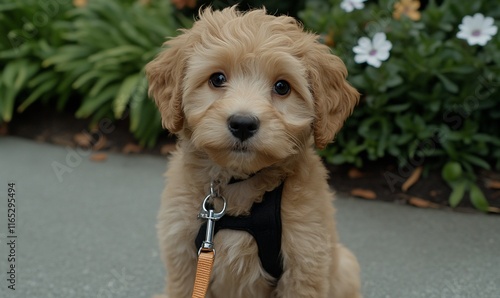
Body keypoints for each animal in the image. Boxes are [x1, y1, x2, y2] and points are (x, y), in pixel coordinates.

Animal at [146, 5, 362, 298]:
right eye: (217, 78)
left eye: (282, 86)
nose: (243, 124)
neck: (239, 185)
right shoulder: (183, 257)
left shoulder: (305, 262)